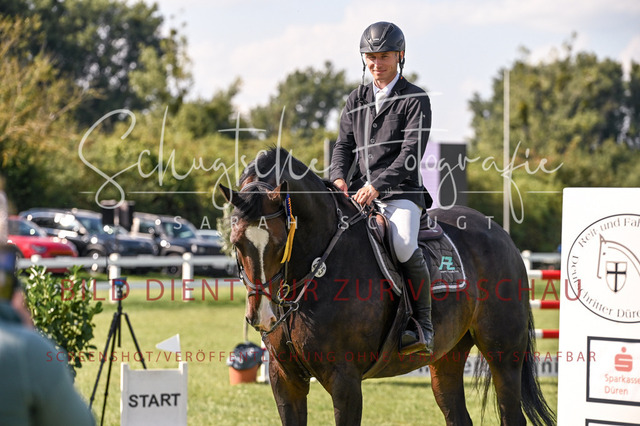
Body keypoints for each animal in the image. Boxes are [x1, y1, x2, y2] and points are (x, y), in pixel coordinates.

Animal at [219, 147, 555, 426]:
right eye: (236, 242)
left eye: (279, 243)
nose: (263, 316)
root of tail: (502, 235)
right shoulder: (285, 380)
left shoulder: (345, 382)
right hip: (446, 357)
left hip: (504, 357)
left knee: (512, 414)